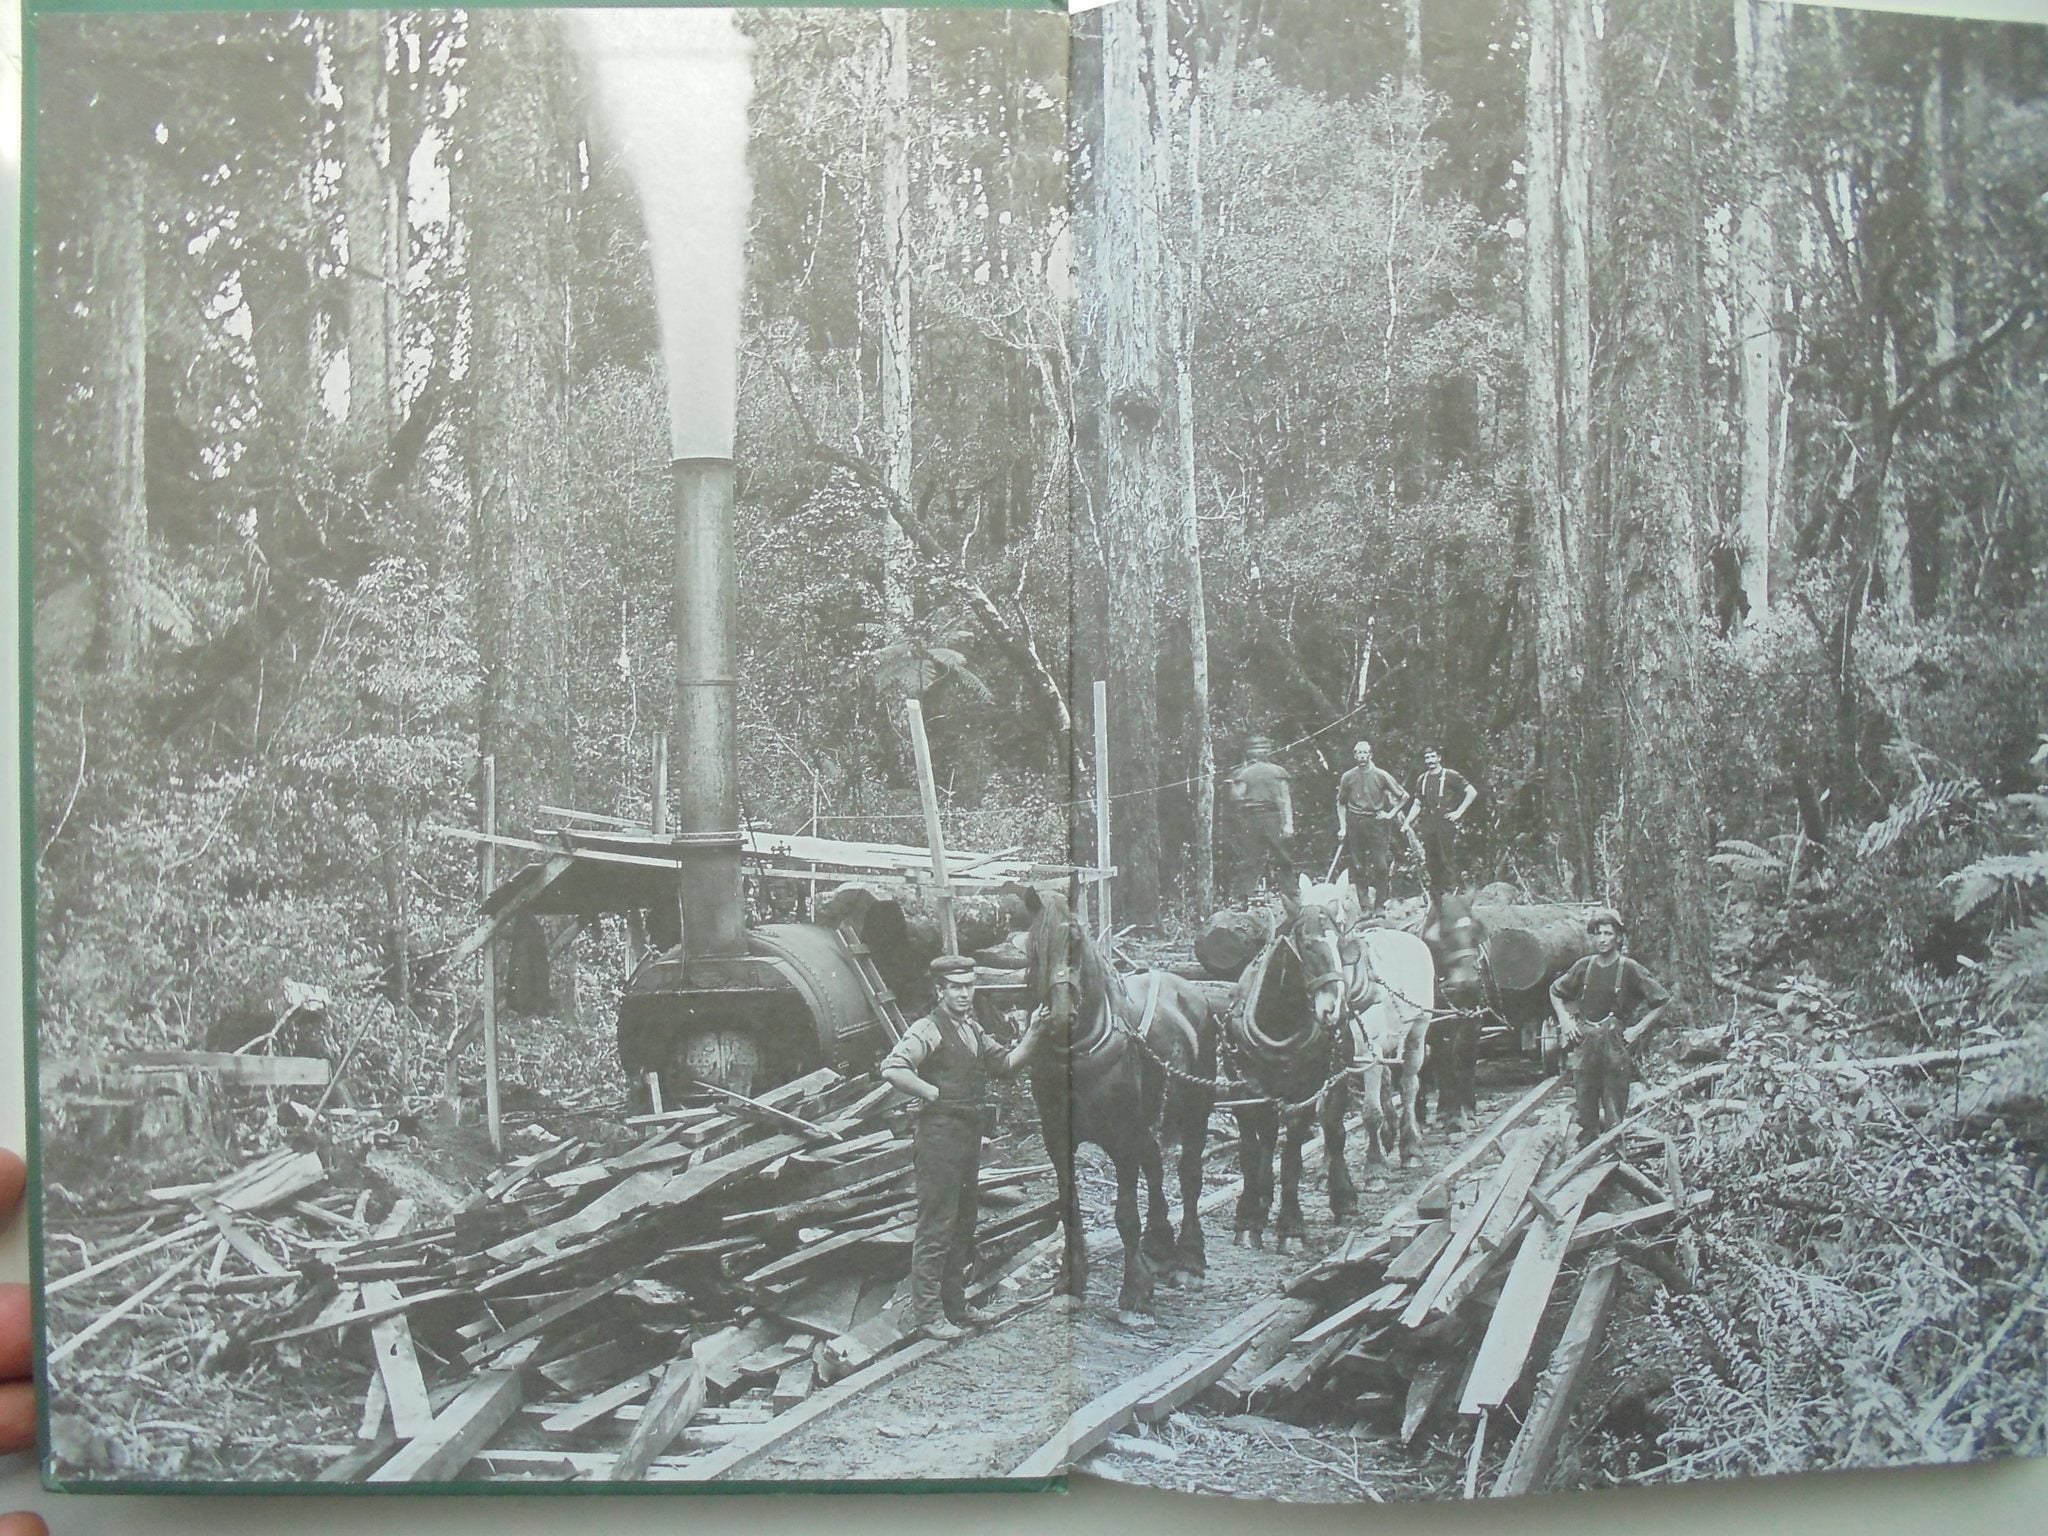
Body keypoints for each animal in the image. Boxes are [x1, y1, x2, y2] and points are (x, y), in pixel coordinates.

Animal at [1011, 897, 1204, 1318]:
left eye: (1077, 943)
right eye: (1034, 950)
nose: (1060, 1016)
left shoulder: (1121, 1139)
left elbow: (1125, 1214)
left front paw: (1135, 1291)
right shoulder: (1057, 1140)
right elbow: (1068, 1207)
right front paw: (1069, 1282)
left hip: (1195, 1112)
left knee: (1189, 1174)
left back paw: (1190, 1258)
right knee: (1156, 1162)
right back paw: (1160, 1245)